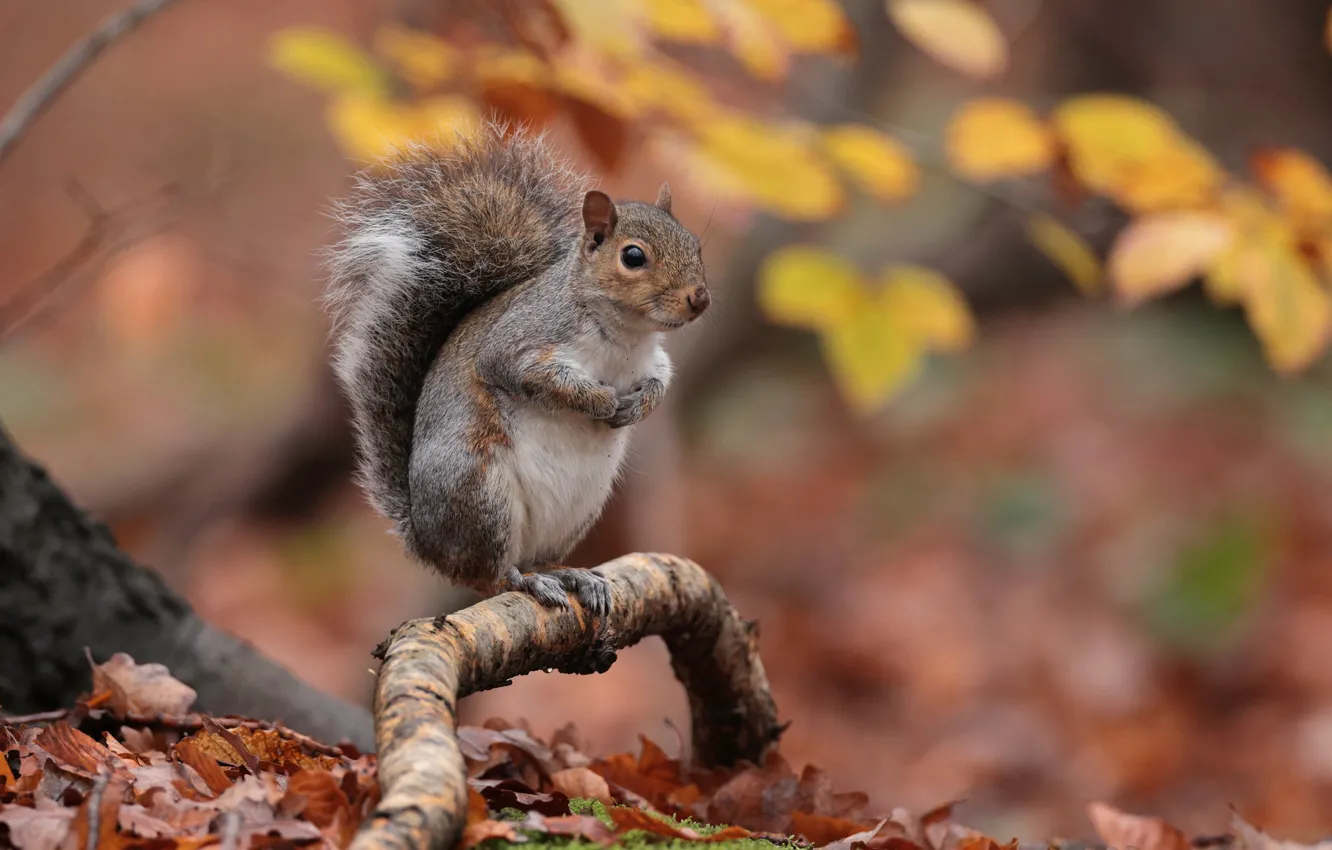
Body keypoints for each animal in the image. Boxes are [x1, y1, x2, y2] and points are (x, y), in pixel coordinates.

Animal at [323, 123, 713, 615]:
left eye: (695, 245)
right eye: (633, 257)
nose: (700, 298)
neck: (627, 336)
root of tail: (428, 543)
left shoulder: (654, 359)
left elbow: (660, 382)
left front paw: (638, 406)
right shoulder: (519, 340)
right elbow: (526, 374)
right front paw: (600, 400)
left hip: (578, 509)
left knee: (532, 558)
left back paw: (569, 575)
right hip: (479, 490)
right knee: (487, 574)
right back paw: (525, 581)